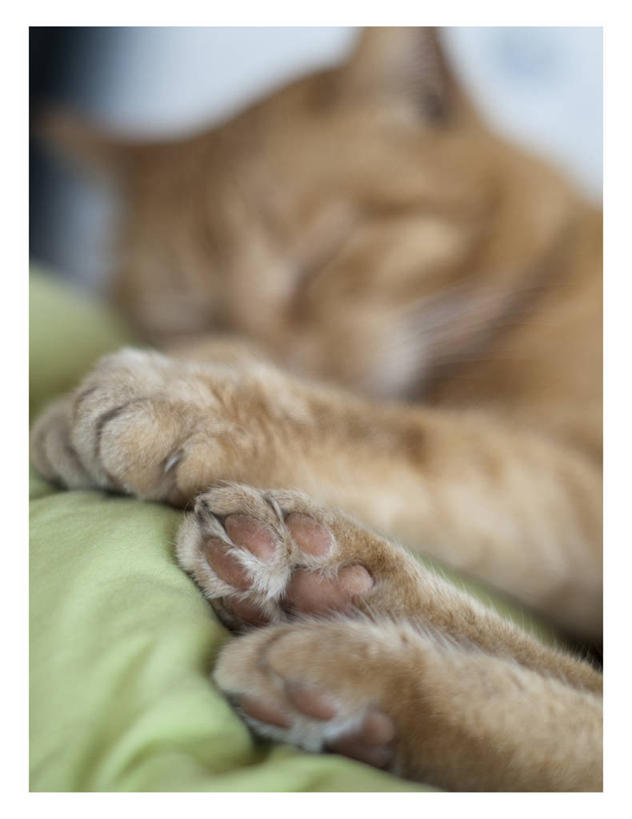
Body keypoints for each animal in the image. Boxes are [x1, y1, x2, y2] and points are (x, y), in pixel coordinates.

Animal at [30, 27, 602, 791]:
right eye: (190, 306)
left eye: (323, 255)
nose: (281, 350)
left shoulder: (580, 478)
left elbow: (416, 440)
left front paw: (195, 386)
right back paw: (322, 582)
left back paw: (361, 663)